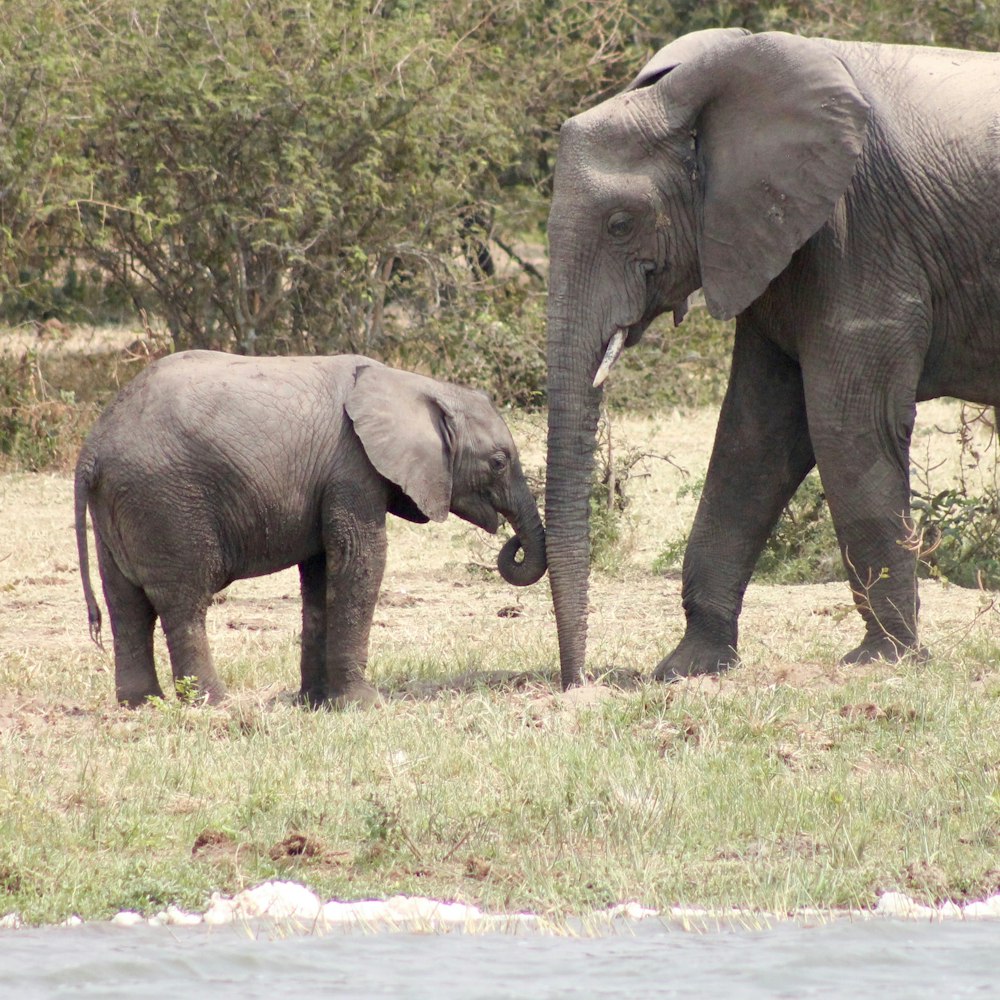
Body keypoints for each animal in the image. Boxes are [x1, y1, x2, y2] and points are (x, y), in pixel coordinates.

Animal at [75, 350, 548, 704]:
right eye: (499, 462)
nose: (513, 544)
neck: (416, 385)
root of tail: (92, 448)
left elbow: (321, 574)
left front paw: (316, 702)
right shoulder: (352, 467)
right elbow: (361, 559)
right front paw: (363, 705)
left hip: (121, 505)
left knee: (125, 604)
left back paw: (141, 703)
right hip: (167, 501)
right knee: (183, 601)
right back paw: (216, 704)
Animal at [544, 29, 1000, 688]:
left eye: (621, 224)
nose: (577, 682)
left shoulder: (858, 231)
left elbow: (846, 426)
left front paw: (884, 660)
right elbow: (754, 437)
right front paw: (688, 668)